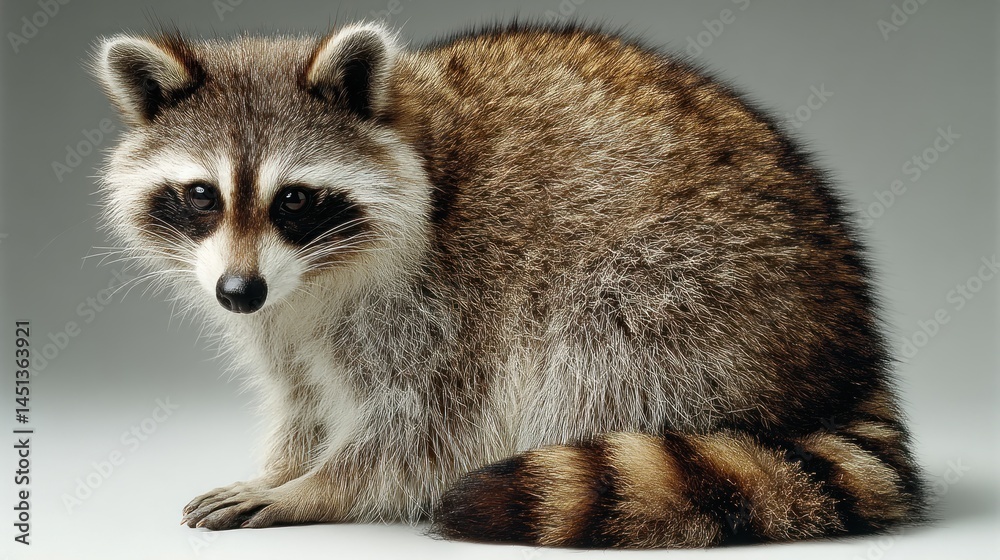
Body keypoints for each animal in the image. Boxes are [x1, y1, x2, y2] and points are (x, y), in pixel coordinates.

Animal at [92, 21, 925, 548]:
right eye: (201, 195)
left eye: (293, 199)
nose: (238, 292)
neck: (315, 274)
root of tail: (849, 350)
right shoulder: (279, 308)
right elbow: (300, 392)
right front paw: (288, 462)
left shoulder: (445, 294)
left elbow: (424, 428)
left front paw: (317, 487)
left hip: (698, 283)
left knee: (600, 346)